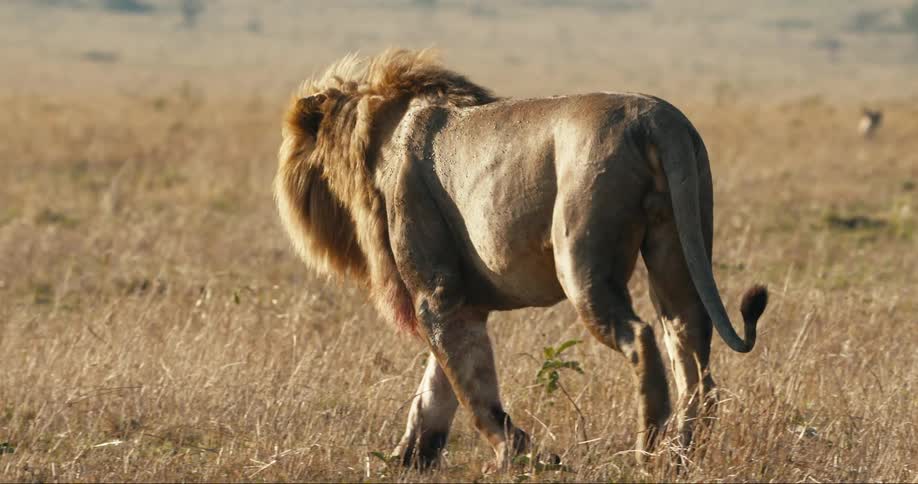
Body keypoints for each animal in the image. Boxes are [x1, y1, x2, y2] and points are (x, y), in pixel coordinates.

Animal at [275, 49, 768, 469]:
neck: (377, 133)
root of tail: (658, 119)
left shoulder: (437, 291)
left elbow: (470, 388)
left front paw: (516, 457)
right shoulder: (463, 301)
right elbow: (438, 386)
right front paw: (410, 459)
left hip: (581, 258)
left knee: (642, 337)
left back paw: (646, 451)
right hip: (677, 245)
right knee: (690, 345)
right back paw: (682, 454)